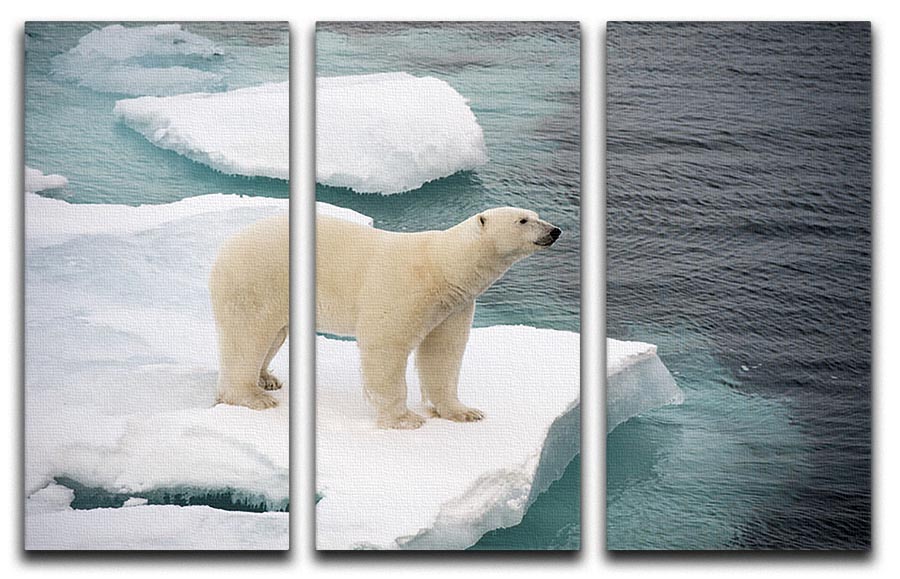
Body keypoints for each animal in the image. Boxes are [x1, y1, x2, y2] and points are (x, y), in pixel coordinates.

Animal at [316, 207, 561, 429]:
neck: (441, 266)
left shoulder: (453, 307)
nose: (555, 231)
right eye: (523, 220)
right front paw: (405, 419)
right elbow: (387, 345)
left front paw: (465, 412)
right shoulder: (403, 288)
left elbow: (443, 352)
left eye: (537, 215)